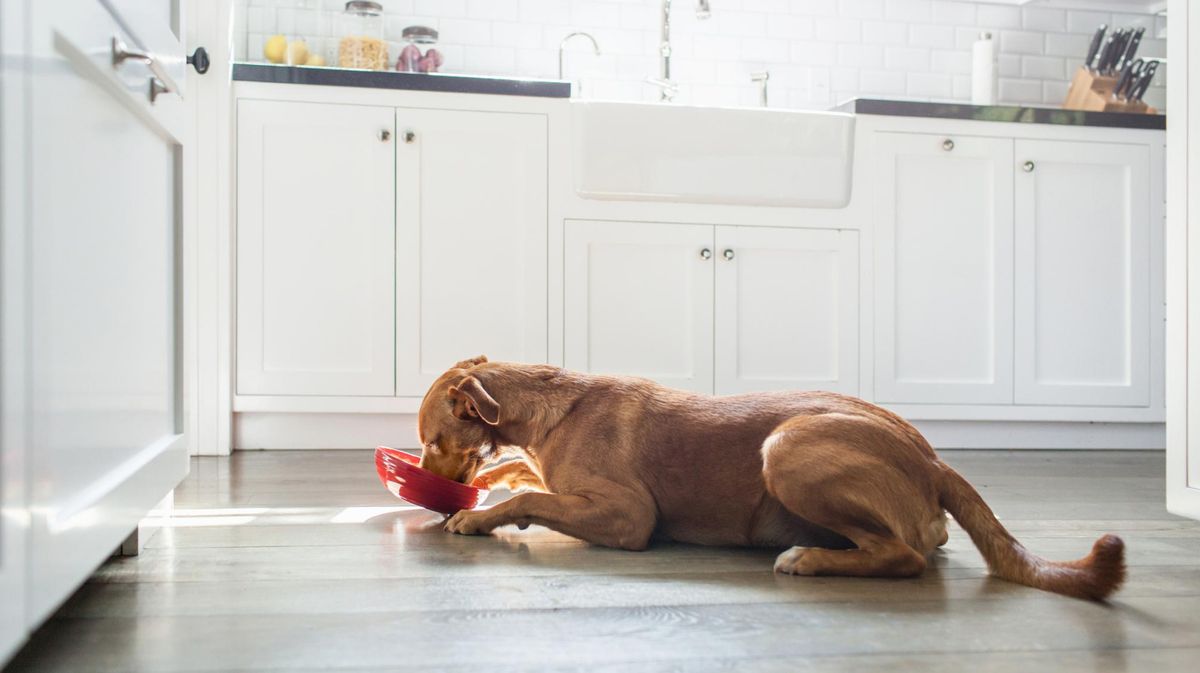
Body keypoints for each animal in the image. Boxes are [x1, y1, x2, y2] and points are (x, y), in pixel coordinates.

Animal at [420, 357, 1123, 597]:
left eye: (430, 441)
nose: (426, 489)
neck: (548, 405)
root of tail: (932, 459)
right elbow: (521, 473)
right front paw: (499, 480)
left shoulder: (629, 516)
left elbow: (533, 498)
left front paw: (475, 514)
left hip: (785, 449)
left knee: (902, 557)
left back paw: (809, 559)